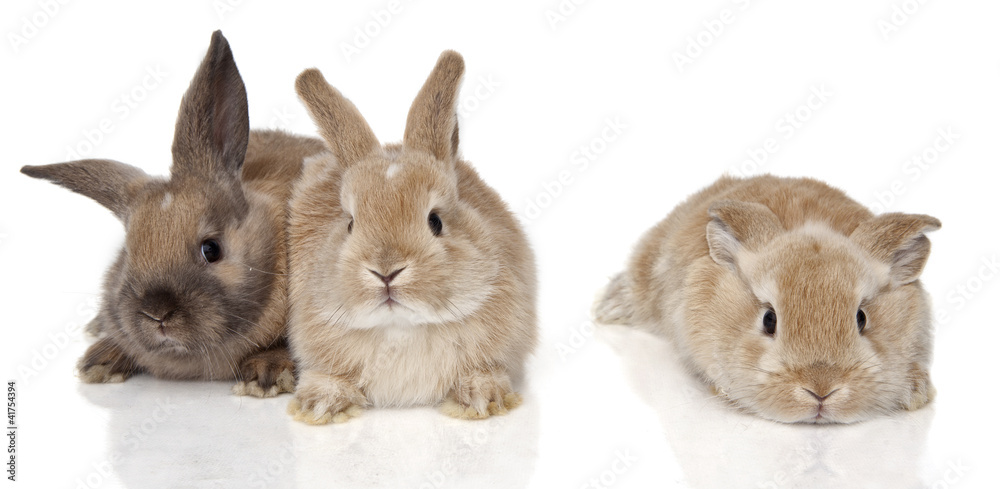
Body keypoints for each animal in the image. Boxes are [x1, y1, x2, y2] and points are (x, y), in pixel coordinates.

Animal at [285, 50, 537, 424]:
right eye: (350, 224)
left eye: (435, 221)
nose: (386, 271)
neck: (401, 329)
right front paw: (319, 405)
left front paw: (482, 398)